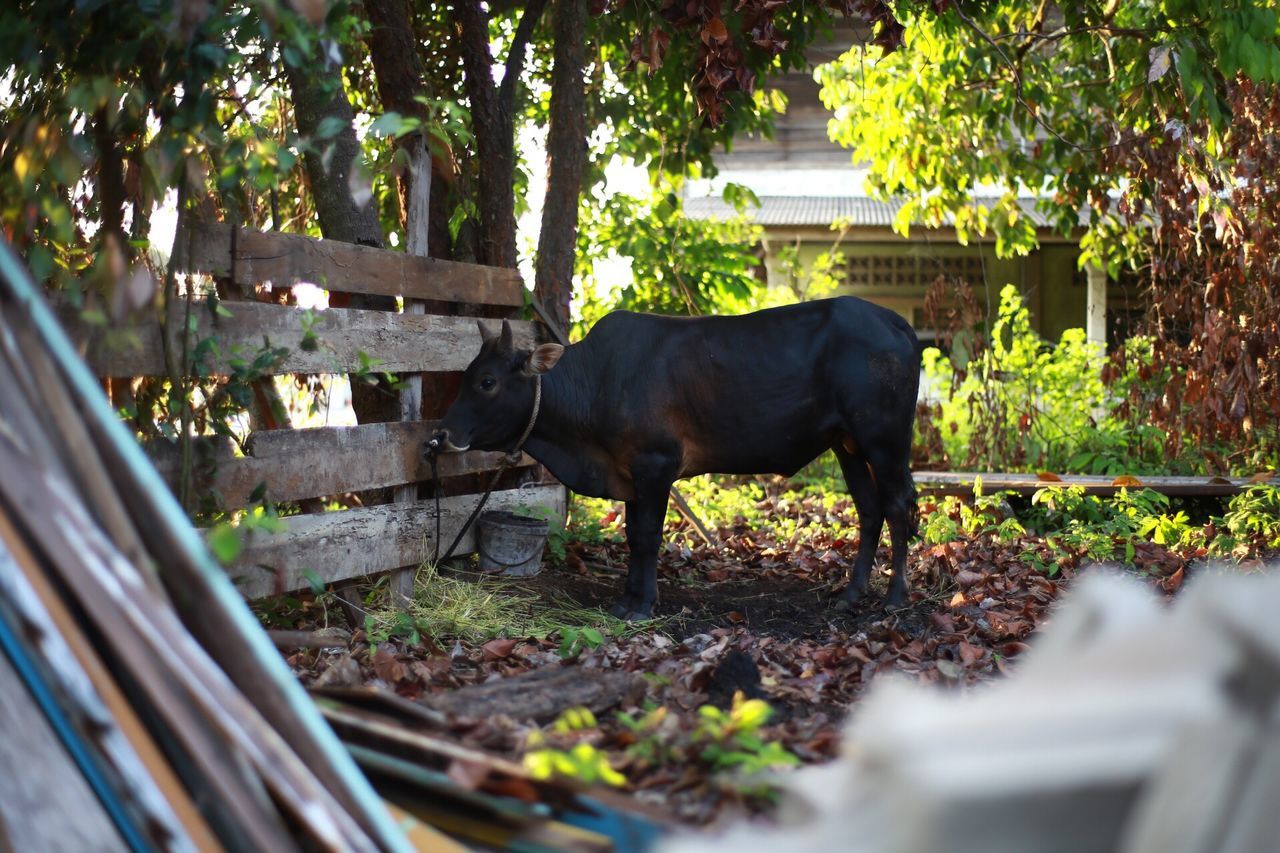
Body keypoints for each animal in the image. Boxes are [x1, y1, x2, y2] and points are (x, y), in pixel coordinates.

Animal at [432, 297, 921, 617]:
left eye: (488, 382)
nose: (443, 434)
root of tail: (894, 320)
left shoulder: (656, 465)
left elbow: (649, 537)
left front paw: (643, 604)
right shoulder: (629, 473)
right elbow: (632, 536)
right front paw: (627, 598)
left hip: (885, 440)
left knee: (898, 507)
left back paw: (895, 597)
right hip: (847, 445)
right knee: (870, 511)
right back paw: (852, 594)